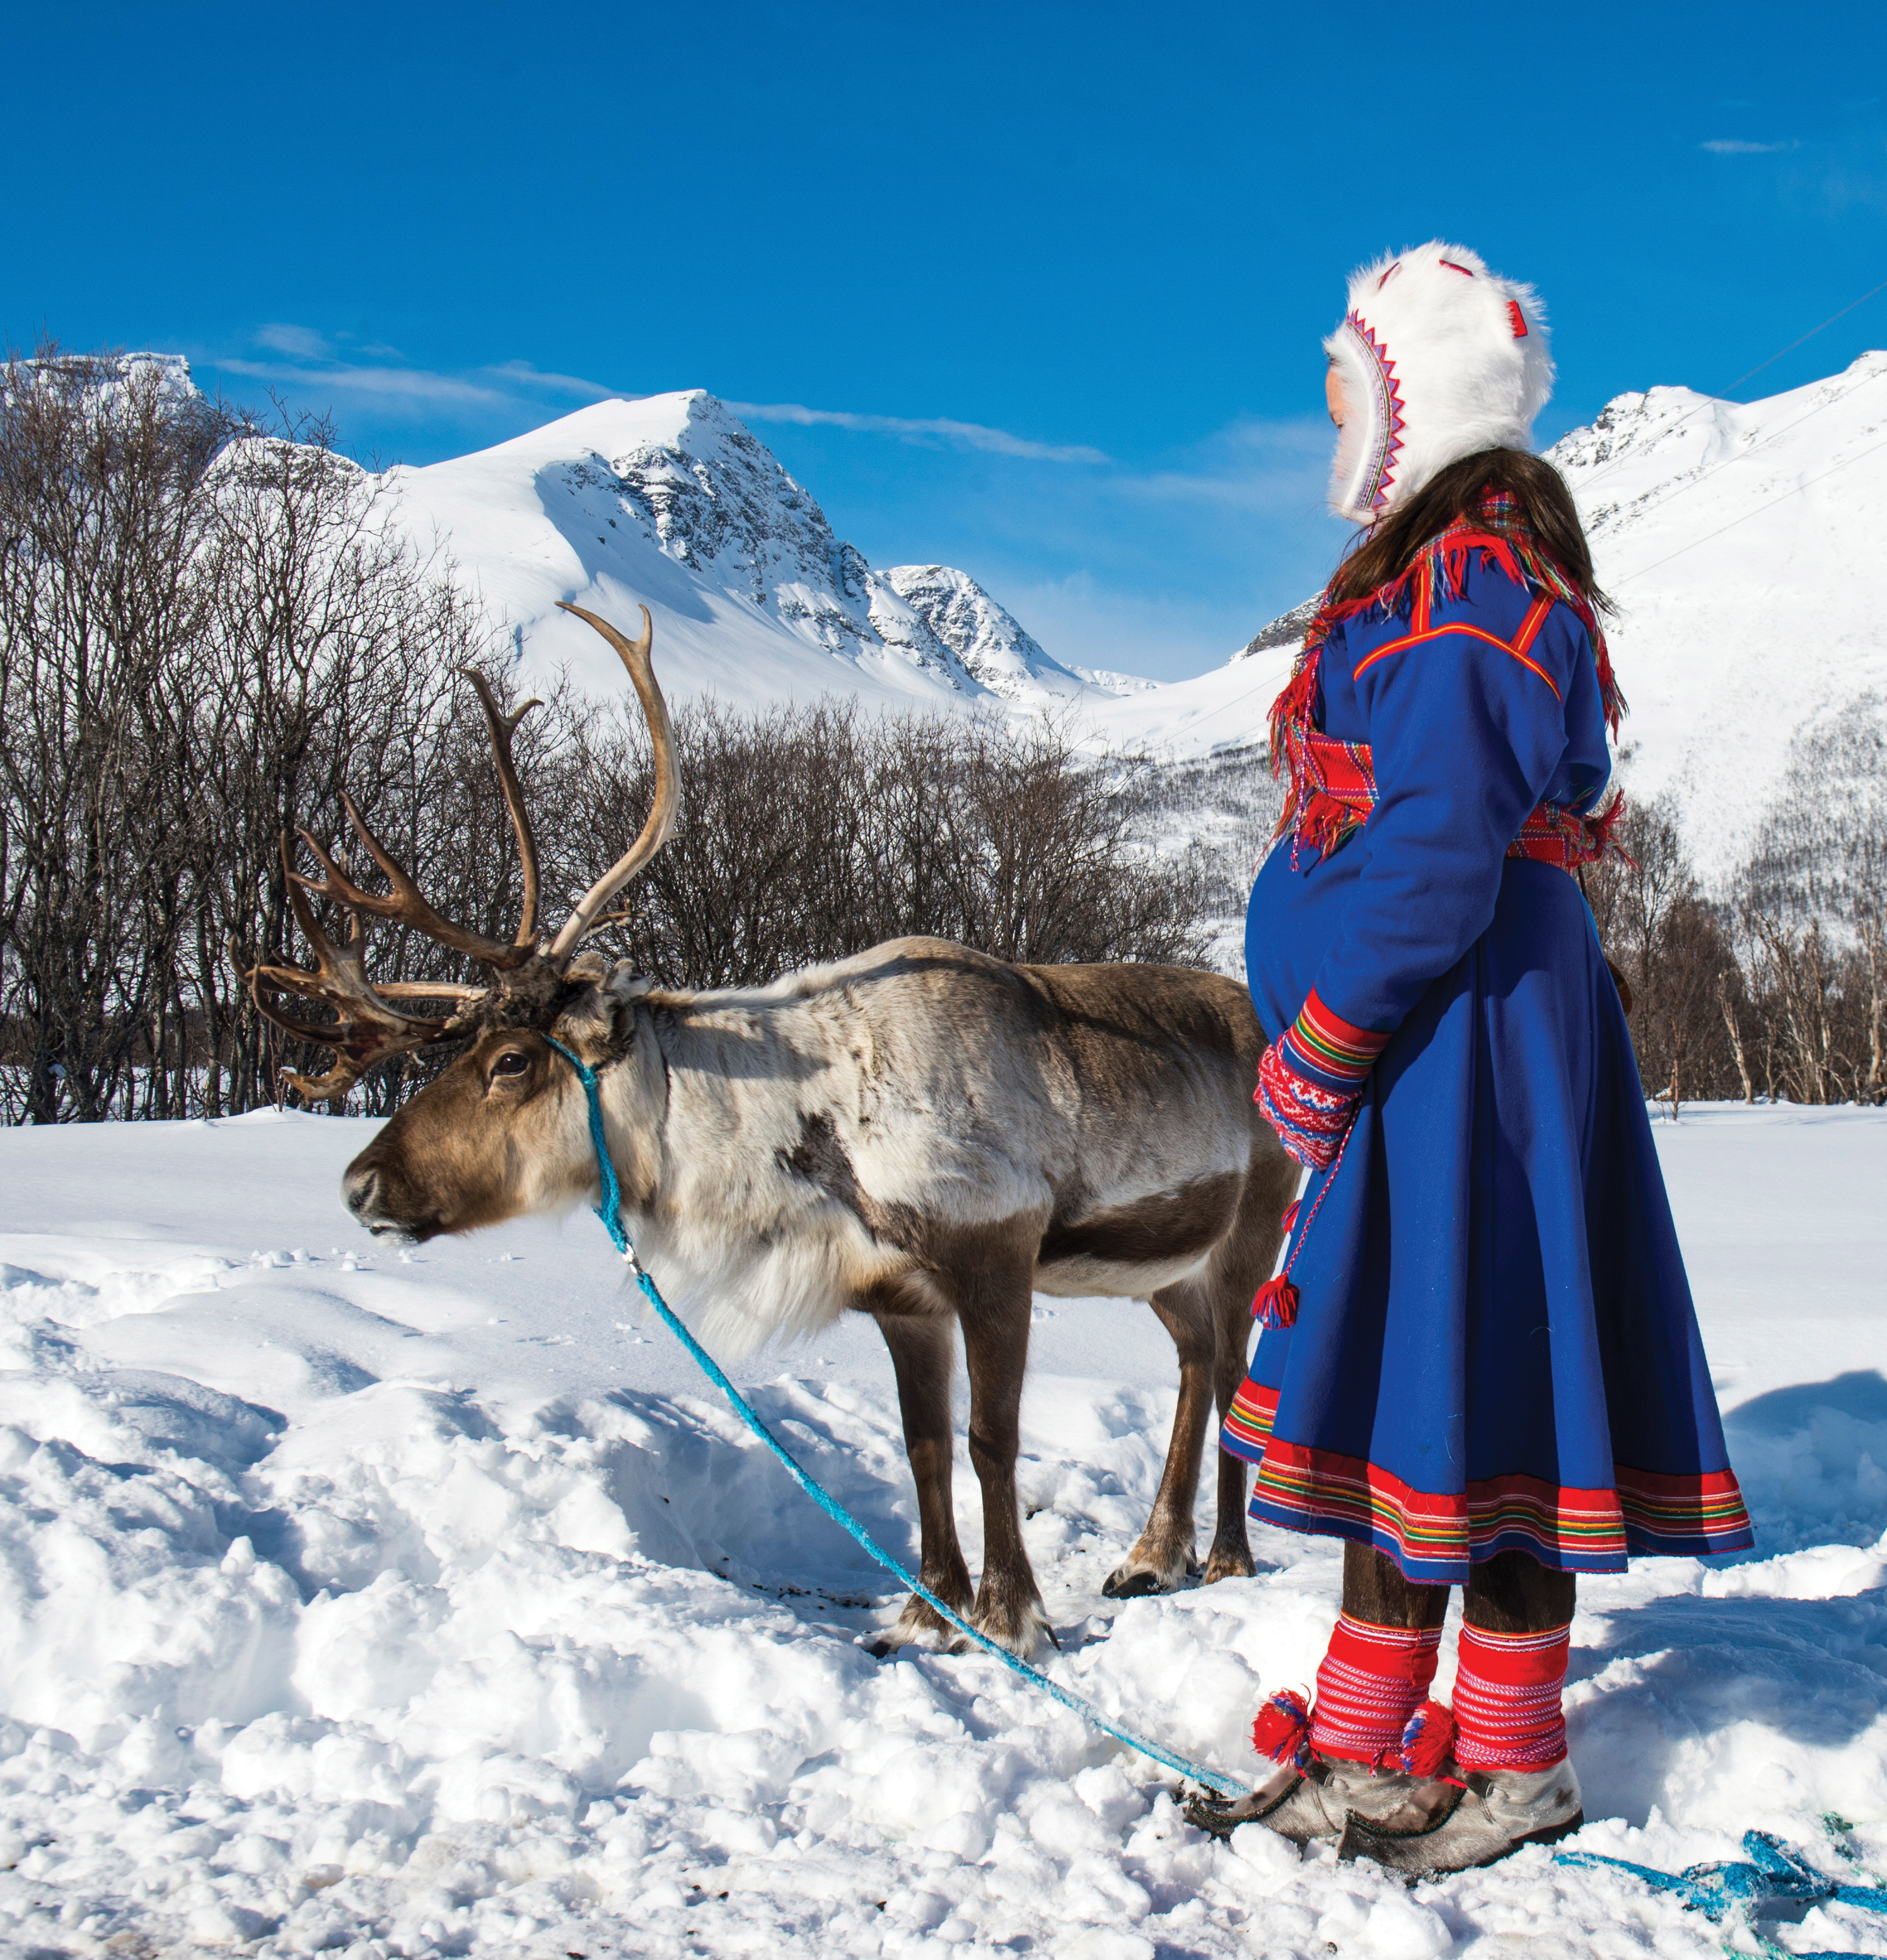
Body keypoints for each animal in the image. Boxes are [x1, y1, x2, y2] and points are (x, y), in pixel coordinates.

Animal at [249, 603, 1297, 1658]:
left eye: (510, 1061)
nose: (360, 1185)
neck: (805, 1141)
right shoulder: (898, 1295)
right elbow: (922, 1449)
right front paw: (924, 1614)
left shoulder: (994, 1256)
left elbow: (990, 1440)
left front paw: (1010, 1617)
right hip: (1157, 1263)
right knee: (1193, 1354)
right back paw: (1150, 1556)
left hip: (1253, 1228)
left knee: (1233, 1367)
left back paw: (1224, 1558)